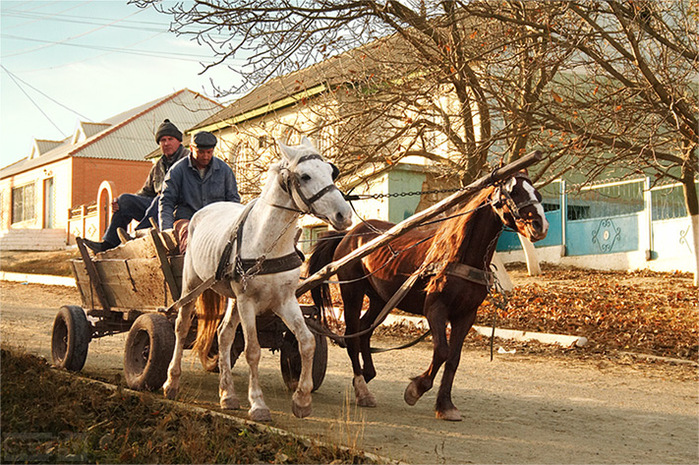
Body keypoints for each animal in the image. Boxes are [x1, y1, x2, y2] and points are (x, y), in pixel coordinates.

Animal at [163, 137, 350, 420]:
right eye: (305, 176)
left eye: (331, 172)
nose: (344, 215)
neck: (269, 243)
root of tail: (205, 210)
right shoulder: (247, 301)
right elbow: (253, 350)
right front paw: (258, 404)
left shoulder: (284, 301)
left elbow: (306, 342)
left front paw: (302, 399)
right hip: (192, 286)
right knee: (181, 327)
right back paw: (172, 381)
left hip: (232, 299)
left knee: (224, 335)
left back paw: (227, 394)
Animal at [308, 171, 548, 420]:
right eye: (513, 191)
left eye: (536, 192)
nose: (540, 225)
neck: (459, 255)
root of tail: (348, 234)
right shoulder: (435, 309)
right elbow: (442, 351)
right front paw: (416, 389)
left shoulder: (466, 315)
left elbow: (453, 358)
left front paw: (445, 405)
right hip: (352, 293)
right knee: (352, 335)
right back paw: (362, 389)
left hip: (380, 300)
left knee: (365, 330)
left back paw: (367, 374)